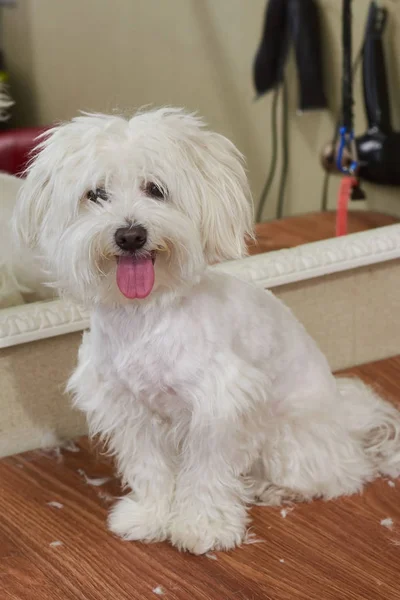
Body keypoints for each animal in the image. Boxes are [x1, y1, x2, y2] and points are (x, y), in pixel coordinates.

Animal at [12, 106, 400, 552]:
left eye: (156, 189)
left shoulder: (218, 406)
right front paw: (150, 516)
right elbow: (149, 467)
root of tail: (346, 418)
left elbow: (207, 471)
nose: (131, 235)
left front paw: (203, 526)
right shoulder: (129, 409)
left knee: (339, 475)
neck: (146, 317)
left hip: (288, 436)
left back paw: (275, 488)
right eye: (95, 194)